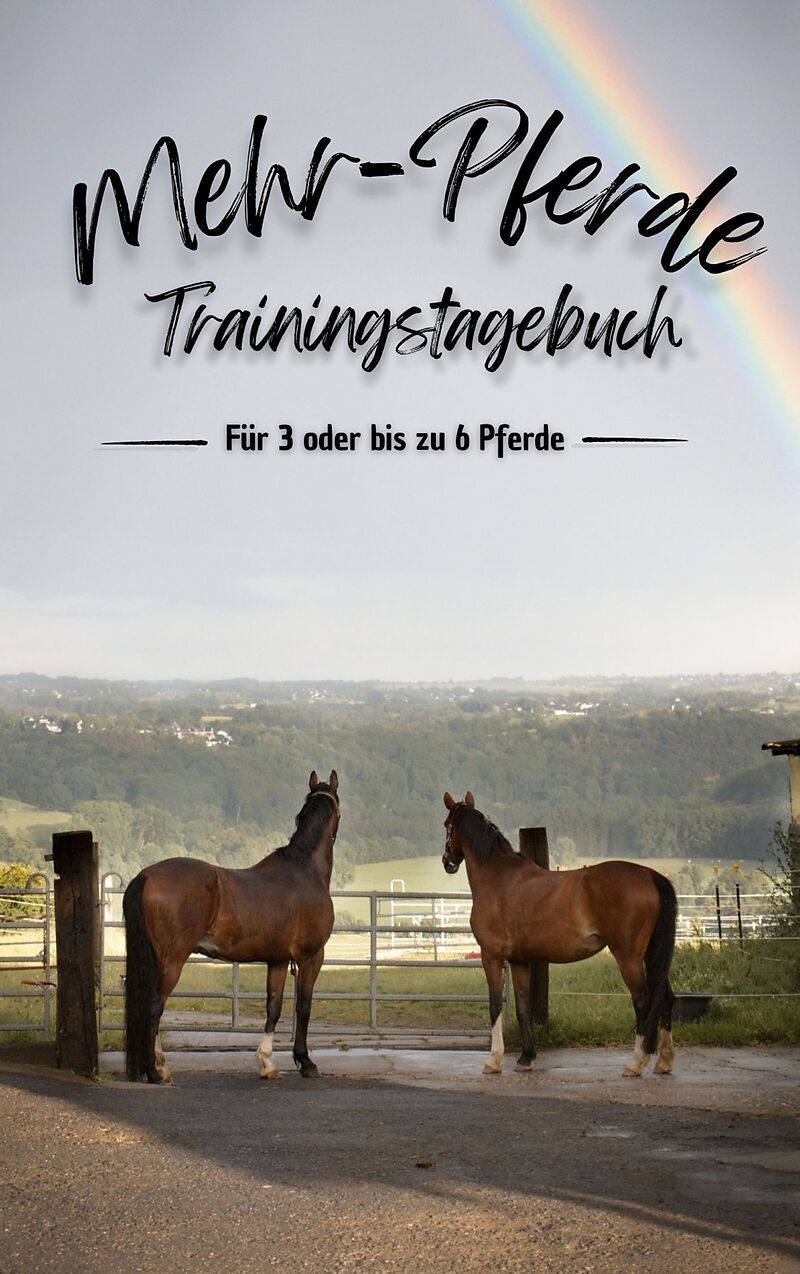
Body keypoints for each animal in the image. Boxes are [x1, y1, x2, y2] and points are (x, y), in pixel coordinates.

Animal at [123, 770, 339, 1083]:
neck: (304, 869)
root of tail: (146, 875)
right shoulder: (311, 957)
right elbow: (304, 1007)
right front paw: (306, 1062)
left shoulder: (277, 960)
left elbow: (274, 1007)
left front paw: (266, 1063)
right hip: (172, 960)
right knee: (154, 1007)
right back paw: (155, 1072)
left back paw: (160, 1065)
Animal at [442, 791, 677, 1079]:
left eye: (447, 825)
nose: (447, 861)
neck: (496, 876)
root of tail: (651, 876)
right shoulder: (520, 961)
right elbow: (522, 1007)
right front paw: (526, 1058)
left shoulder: (491, 956)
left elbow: (495, 1005)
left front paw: (494, 1060)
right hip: (651, 955)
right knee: (665, 998)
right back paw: (664, 1061)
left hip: (629, 957)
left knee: (643, 1000)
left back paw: (635, 1062)